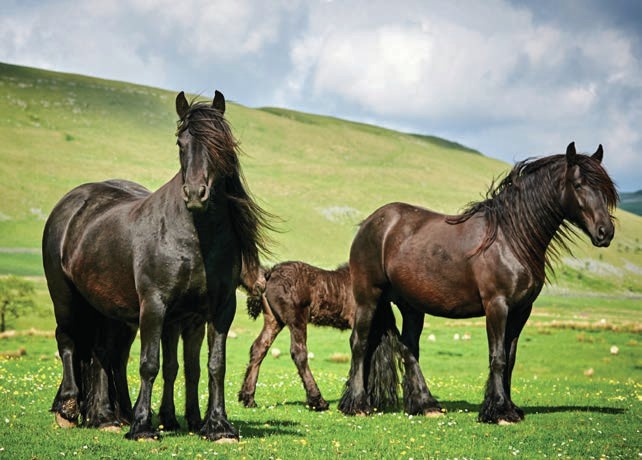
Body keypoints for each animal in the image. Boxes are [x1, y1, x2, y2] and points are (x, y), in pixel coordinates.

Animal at [42, 90, 273, 441]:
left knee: (102, 352)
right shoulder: (155, 305)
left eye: (221, 143)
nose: (196, 194)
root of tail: (71, 203)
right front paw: (142, 427)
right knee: (68, 340)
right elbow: (150, 364)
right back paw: (68, 410)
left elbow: (211, 365)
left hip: (108, 310)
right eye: (180, 142)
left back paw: (106, 417)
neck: (193, 237)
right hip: (66, 298)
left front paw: (217, 426)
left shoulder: (217, 310)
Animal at [238, 262, 355, 411]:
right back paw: (318, 401)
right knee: (299, 353)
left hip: (274, 319)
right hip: (296, 319)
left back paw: (248, 398)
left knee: (259, 347)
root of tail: (270, 273)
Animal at [338, 142, 618, 424]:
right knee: (360, 343)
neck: (509, 238)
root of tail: (370, 223)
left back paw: (425, 404)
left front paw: (510, 408)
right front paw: (498, 411)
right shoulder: (497, 306)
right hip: (368, 297)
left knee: (408, 348)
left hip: (411, 306)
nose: (605, 232)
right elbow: (498, 357)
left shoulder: (521, 311)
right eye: (578, 185)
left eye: (605, 189)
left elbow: (510, 358)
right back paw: (358, 404)